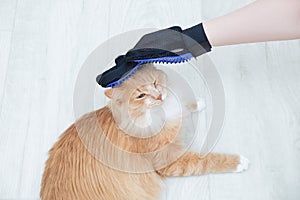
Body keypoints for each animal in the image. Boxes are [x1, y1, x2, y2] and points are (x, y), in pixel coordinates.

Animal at [41, 64, 250, 200]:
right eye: (141, 95)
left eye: (155, 83)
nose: (158, 96)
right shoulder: (169, 160)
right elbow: (207, 160)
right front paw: (238, 162)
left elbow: (183, 106)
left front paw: (196, 103)